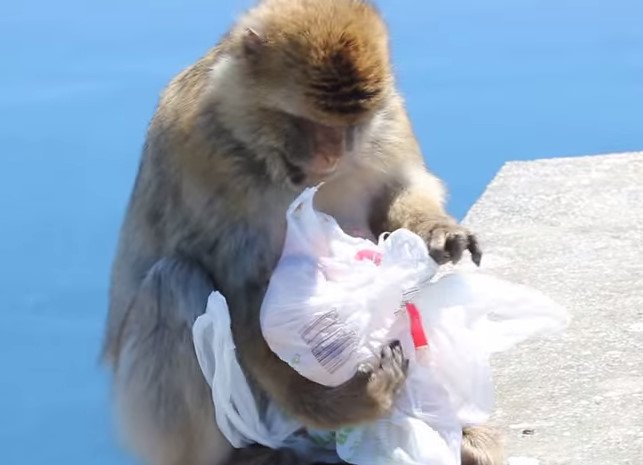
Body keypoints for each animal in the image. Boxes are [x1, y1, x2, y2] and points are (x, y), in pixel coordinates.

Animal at [101, 1, 502, 465]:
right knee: (173, 282)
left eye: (348, 126)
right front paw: (345, 404)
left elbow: (399, 190)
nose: (330, 156)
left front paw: (438, 231)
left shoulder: (388, 121)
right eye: (308, 122)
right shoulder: (201, 153)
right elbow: (246, 293)